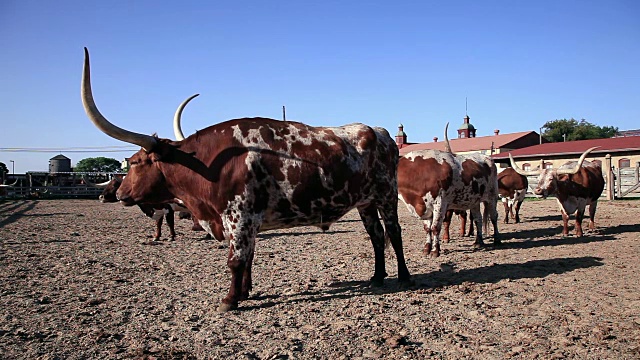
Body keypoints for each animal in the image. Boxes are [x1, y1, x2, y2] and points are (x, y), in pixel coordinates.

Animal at [80, 48, 410, 312]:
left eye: (136, 163)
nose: (119, 193)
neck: (206, 165)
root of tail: (378, 131)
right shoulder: (242, 221)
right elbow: (247, 256)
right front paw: (244, 293)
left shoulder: (239, 216)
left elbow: (236, 260)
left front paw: (229, 300)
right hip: (365, 203)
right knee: (376, 236)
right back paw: (377, 277)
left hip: (386, 196)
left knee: (393, 233)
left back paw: (404, 277)